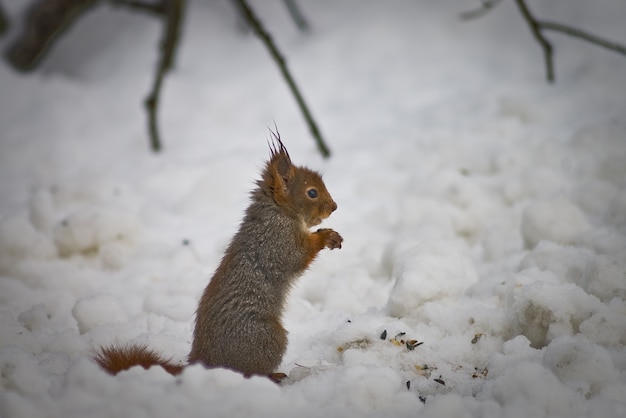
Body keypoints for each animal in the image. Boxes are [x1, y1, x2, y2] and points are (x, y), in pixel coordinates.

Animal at [94, 134, 342, 382]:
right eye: (312, 193)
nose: (334, 207)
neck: (278, 212)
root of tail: (202, 362)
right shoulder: (275, 242)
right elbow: (296, 257)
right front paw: (326, 236)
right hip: (267, 338)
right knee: (249, 371)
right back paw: (273, 376)